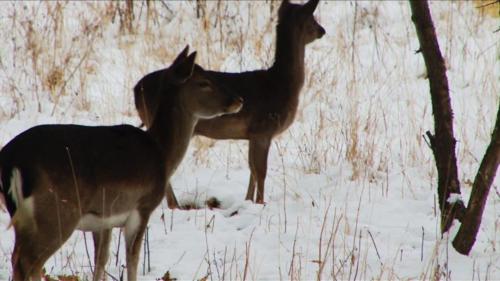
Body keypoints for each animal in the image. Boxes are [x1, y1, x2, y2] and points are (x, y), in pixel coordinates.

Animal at [0, 46, 242, 280]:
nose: (238, 100)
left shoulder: (102, 220)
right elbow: (132, 260)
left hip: (24, 217)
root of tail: (12, 161)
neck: (162, 153)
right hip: (56, 212)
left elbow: (101, 261)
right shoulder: (141, 207)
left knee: (17, 259)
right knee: (28, 263)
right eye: (204, 83)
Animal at [135, 0, 326, 202]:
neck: (282, 84)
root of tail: (135, 91)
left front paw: (248, 200)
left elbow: (252, 169)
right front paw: (260, 202)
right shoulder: (263, 129)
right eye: (313, 19)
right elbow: (261, 171)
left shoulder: (252, 134)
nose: (322, 30)